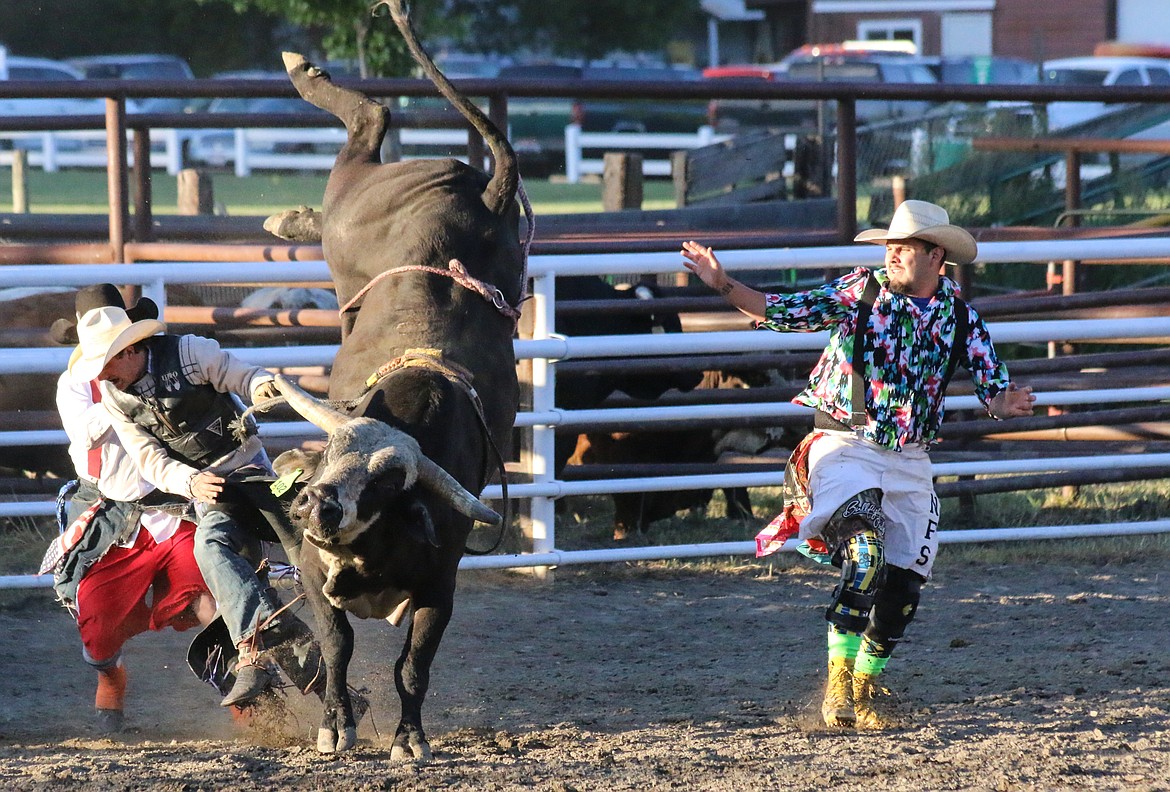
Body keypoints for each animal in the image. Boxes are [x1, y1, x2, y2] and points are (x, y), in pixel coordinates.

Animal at [258, 0, 528, 753]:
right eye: (327, 456)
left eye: (384, 483)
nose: (313, 507)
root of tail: (486, 192)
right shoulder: (313, 574)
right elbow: (337, 648)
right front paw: (334, 729)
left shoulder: (441, 584)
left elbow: (414, 664)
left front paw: (410, 737)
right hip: (355, 215)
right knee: (367, 126)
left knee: (369, 126)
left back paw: (288, 205)